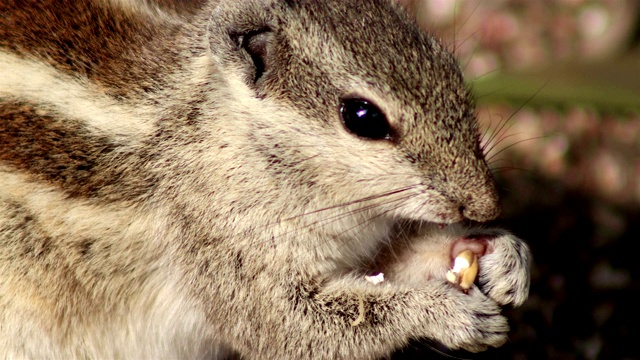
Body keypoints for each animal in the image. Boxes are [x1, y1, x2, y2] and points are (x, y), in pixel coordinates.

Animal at [0, 0, 528, 358]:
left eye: (451, 66)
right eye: (363, 117)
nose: (486, 204)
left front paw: (500, 253)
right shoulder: (225, 250)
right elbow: (293, 325)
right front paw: (442, 313)